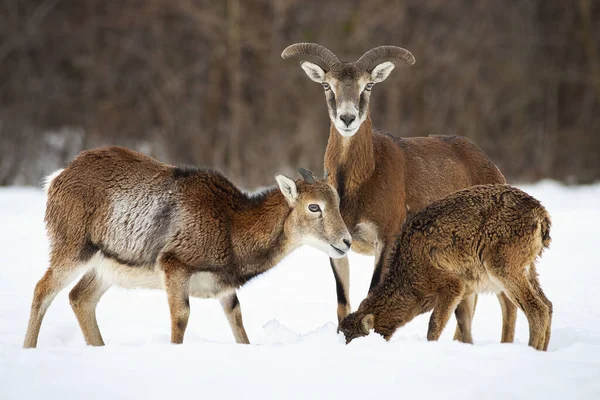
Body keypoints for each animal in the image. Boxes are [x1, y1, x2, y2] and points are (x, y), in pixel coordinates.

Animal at [24, 147, 352, 346]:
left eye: (337, 201)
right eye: (313, 207)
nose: (346, 241)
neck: (232, 228)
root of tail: (55, 179)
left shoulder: (224, 289)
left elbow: (238, 325)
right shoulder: (174, 266)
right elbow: (181, 317)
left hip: (106, 267)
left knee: (80, 298)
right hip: (73, 249)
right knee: (42, 290)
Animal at [338, 184, 552, 350]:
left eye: (353, 340)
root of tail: (542, 215)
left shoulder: (453, 283)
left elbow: (434, 324)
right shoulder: (466, 290)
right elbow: (465, 327)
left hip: (503, 266)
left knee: (538, 309)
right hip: (528, 268)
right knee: (548, 305)